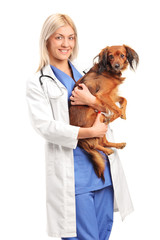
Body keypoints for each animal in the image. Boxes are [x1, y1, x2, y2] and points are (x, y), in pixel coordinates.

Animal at [69, 45, 138, 181]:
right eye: (110, 56)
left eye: (122, 55)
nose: (117, 65)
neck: (109, 71)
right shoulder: (103, 95)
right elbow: (116, 110)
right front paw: (113, 117)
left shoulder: (112, 94)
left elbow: (124, 99)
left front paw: (124, 113)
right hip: (97, 119)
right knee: (93, 145)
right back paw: (107, 149)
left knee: (103, 142)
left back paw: (117, 145)